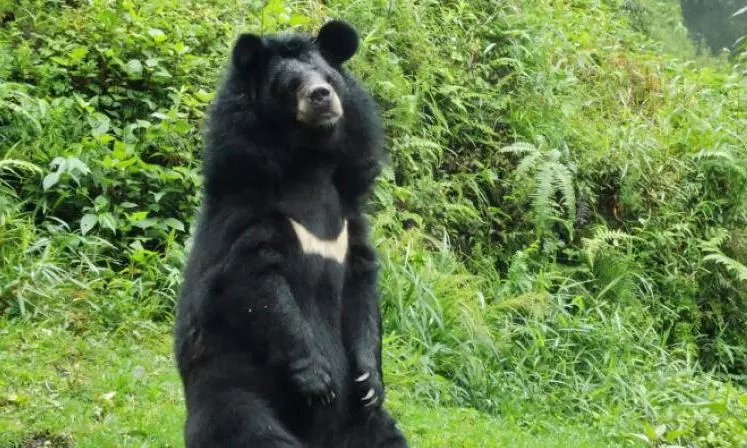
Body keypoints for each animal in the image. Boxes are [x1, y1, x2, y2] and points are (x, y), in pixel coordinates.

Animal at [173, 20, 408, 448]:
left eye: (328, 77)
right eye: (289, 84)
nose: (321, 96)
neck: (310, 165)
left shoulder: (350, 221)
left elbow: (362, 289)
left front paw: (369, 381)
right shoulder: (248, 214)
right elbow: (258, 285)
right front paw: (317, 380)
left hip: (364, 425)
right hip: (233, 391)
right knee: (249, 429)